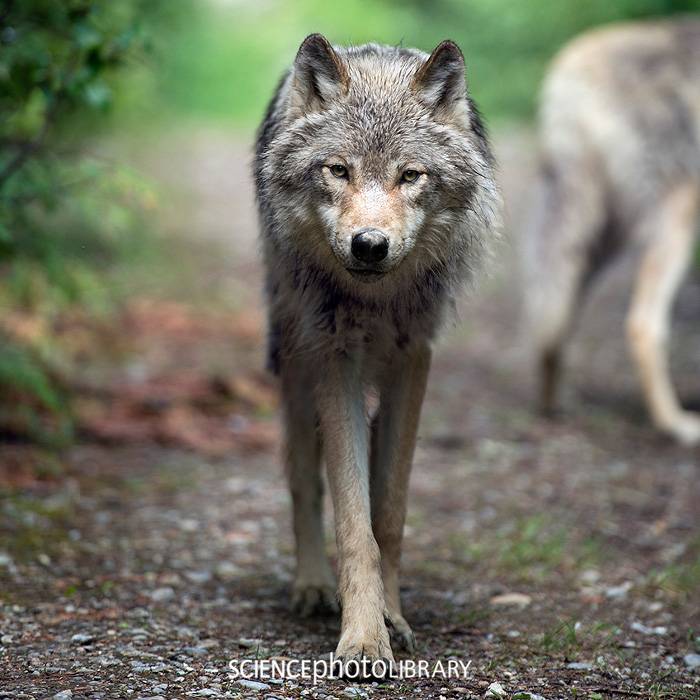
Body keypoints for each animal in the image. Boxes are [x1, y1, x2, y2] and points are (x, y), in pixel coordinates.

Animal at [254, 34, 500, 668]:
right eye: (338, 170)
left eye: (410, 175)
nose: (369, 245)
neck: (377, 301)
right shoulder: (334, 359)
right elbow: (352, 522)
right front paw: (364, 636)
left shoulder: (414, 360)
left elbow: (387, 513)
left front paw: (392, 619)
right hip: (296, 364)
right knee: (303, 482)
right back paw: (313, 586)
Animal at [524, 19, 700, 446]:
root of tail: (570, 69)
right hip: (676, 216)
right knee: (642, 324)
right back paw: (675, 424)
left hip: (597, 235)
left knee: (553, 314)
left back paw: (552, 408)